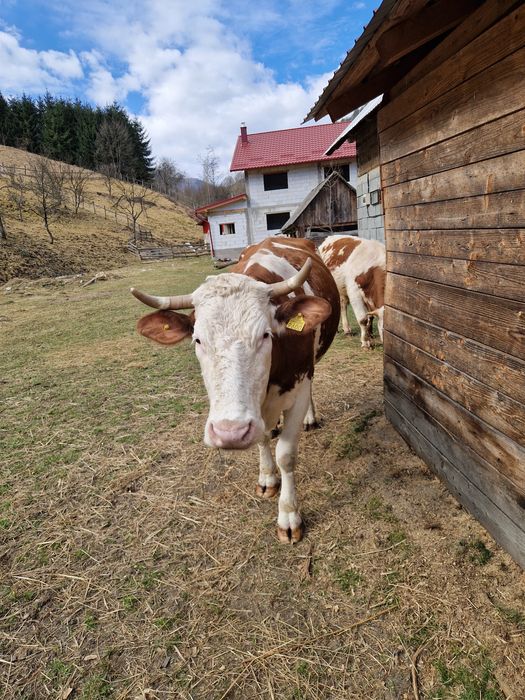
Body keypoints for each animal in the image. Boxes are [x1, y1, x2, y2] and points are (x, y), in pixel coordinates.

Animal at [131, 237, 340, 543]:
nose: (229, 432)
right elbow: (263, 439)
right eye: (197, 339)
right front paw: (267, 477)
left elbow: (286, 454)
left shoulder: (300, 385)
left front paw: (289, 515)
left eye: (266, 334)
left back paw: (311, 419)